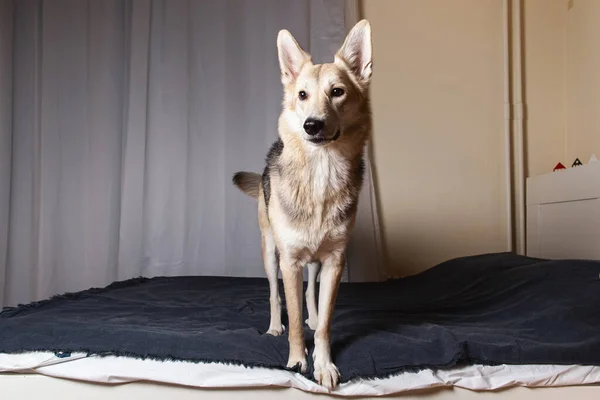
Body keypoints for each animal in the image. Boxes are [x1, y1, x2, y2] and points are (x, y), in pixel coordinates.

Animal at [232, 19, 372, 390]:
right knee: (274, 294)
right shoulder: (290, 261)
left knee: (311, 294)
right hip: (271, 253)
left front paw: (324, 364)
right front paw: (297, 360)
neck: (321, 173)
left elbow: (324, 324)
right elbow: (292, 317)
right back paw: (273, 326)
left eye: (337, 92)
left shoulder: (335, 261)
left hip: (316, 263)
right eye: (302, 95)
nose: (312, 125)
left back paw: (312, 315)